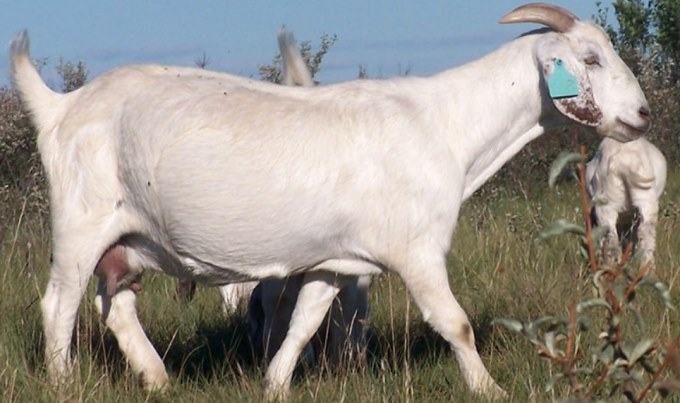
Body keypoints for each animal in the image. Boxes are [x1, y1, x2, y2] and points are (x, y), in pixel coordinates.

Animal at [9, 2, 648, 400]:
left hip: (129, 238)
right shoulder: (417, 250)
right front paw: (489, 387)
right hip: (81, 222)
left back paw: (158, 379)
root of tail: (61, 106)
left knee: (115, 303)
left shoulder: (337, 259)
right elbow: (456, 323)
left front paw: (274, 384)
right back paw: (64, 383)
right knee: (59, 305)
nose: (641, 115)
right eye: (591, 59)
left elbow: (305, 321)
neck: (444, 124)